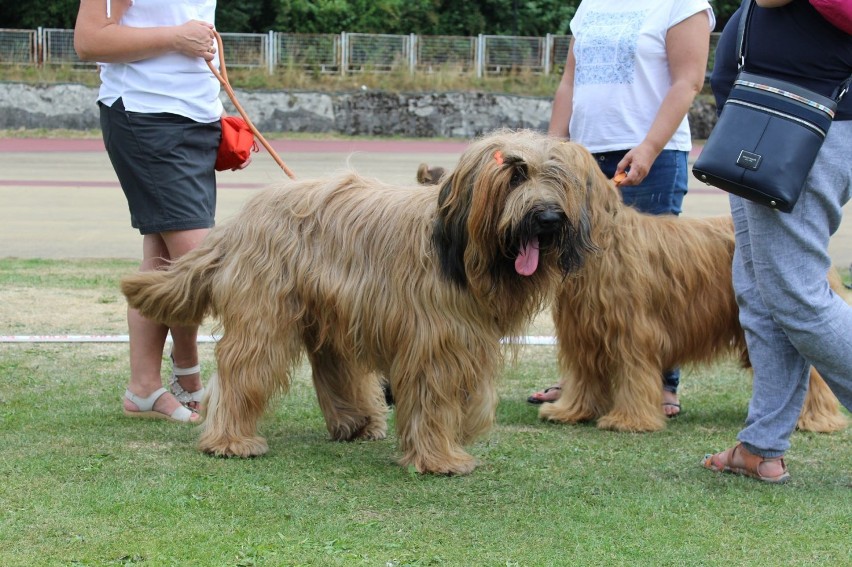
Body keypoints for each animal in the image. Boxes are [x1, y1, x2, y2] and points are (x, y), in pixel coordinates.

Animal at [120, 130, 596, 474]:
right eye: (514, 175)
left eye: (554, 176)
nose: (548, 218)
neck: (462, 248)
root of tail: (241, 221)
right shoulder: (433, 342)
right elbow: (434, 398)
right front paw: (440, 458)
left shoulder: (468, 336)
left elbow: (475, 398)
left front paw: (461, 432)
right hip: (265, 315)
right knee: (244, 369)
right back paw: (231, 440)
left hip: (327, 316)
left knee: (333, 366)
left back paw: (356, 423)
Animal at [540, 143, 844, 434]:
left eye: (558, 175)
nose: (546, 215)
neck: (603, 241)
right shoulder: (582, 333)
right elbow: (584, 376)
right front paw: (571, 410)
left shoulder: (633, 331)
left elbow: (633, 374)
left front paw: (630, 419)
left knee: (813, 372)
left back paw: (817, 416)